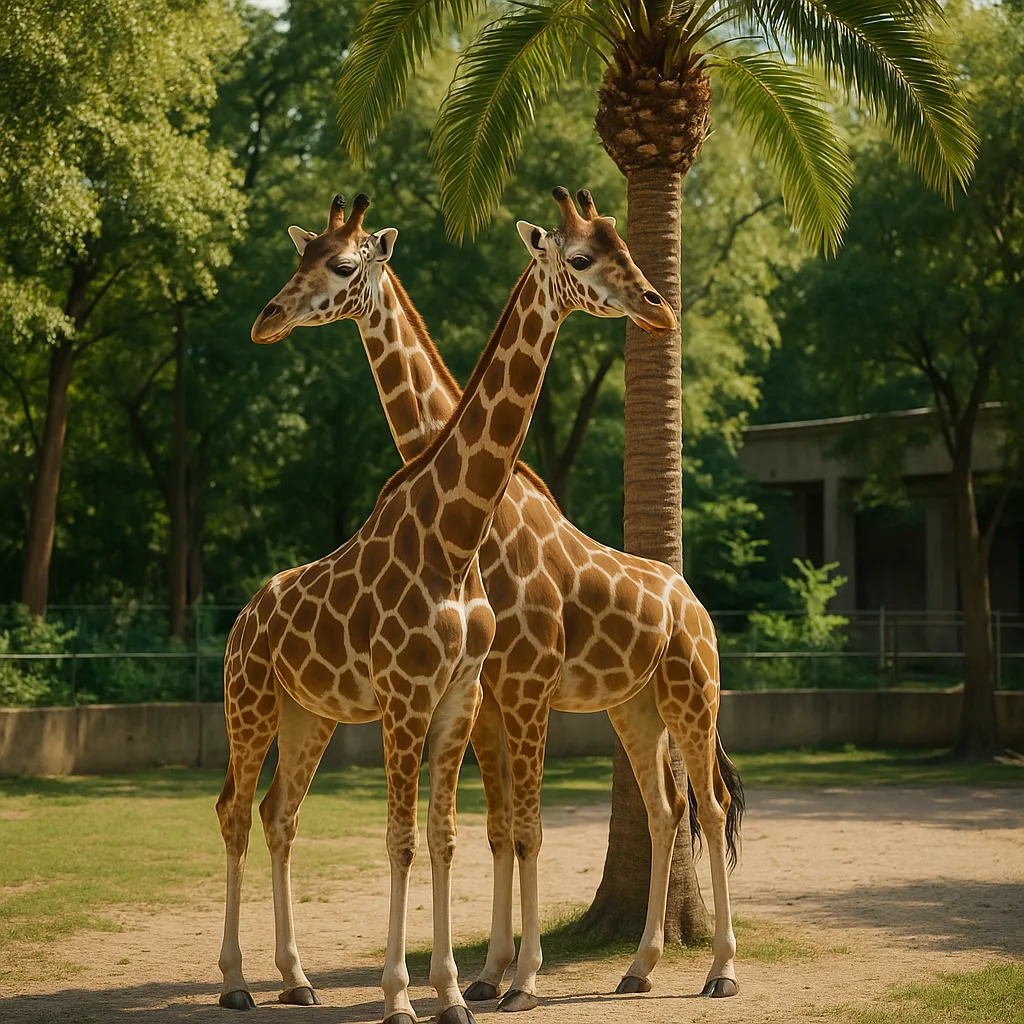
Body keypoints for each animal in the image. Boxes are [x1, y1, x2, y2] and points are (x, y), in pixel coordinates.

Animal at [248, 188, 743, 1009]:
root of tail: (693, 601)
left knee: (711, 804)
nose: (657, 307)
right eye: (303, 258)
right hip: (632, 705)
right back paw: (639, 967)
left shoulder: (523, 686)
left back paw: (721, 971)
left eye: (343, 266)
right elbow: (499, 828)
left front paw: (519, 981)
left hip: (693, 692)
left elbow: (524, 827)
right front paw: (486, 976)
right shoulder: (492, 695)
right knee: (667, 808)